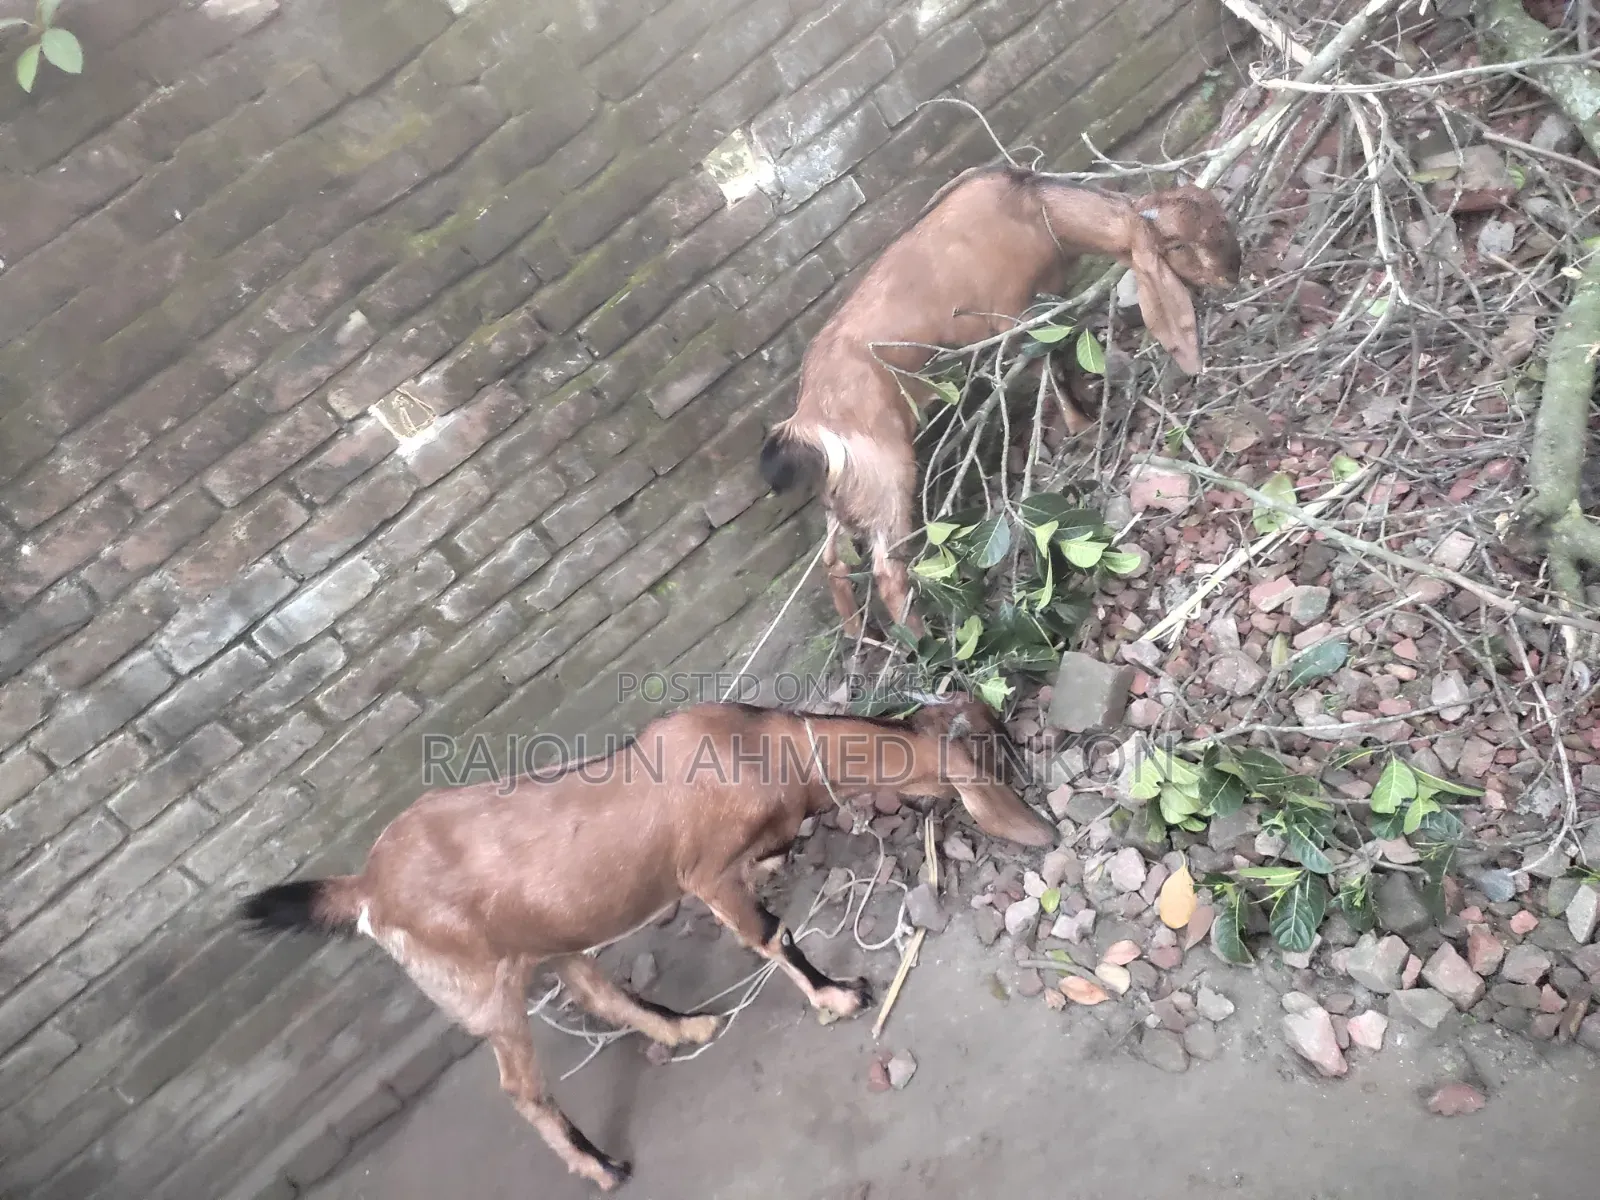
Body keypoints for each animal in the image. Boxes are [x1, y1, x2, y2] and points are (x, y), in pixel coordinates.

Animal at [235, 691, 1053, 1192]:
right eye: (997, 756)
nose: (1043, 826)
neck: (772, 748)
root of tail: (368, 890)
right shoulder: (705, 874)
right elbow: (771, 935)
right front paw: (841, 995)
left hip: (550, 939)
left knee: (597, 989)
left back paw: (686, 1029)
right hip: (484, 987)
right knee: (522, 1088)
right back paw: (603, 1167)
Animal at [759, 163, 1242, 638]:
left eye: (1220, 217)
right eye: (1177, 243)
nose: (1232, 272)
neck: (1035, 213)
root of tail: (807, 422)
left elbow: (1062, 349)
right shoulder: (1008, 315)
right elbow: (1047, 361)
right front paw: (1084, 428)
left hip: (844, 491)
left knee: (834, 562)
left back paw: (859, 632)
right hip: (885, 476)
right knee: (886, 568)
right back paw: (921, 642)